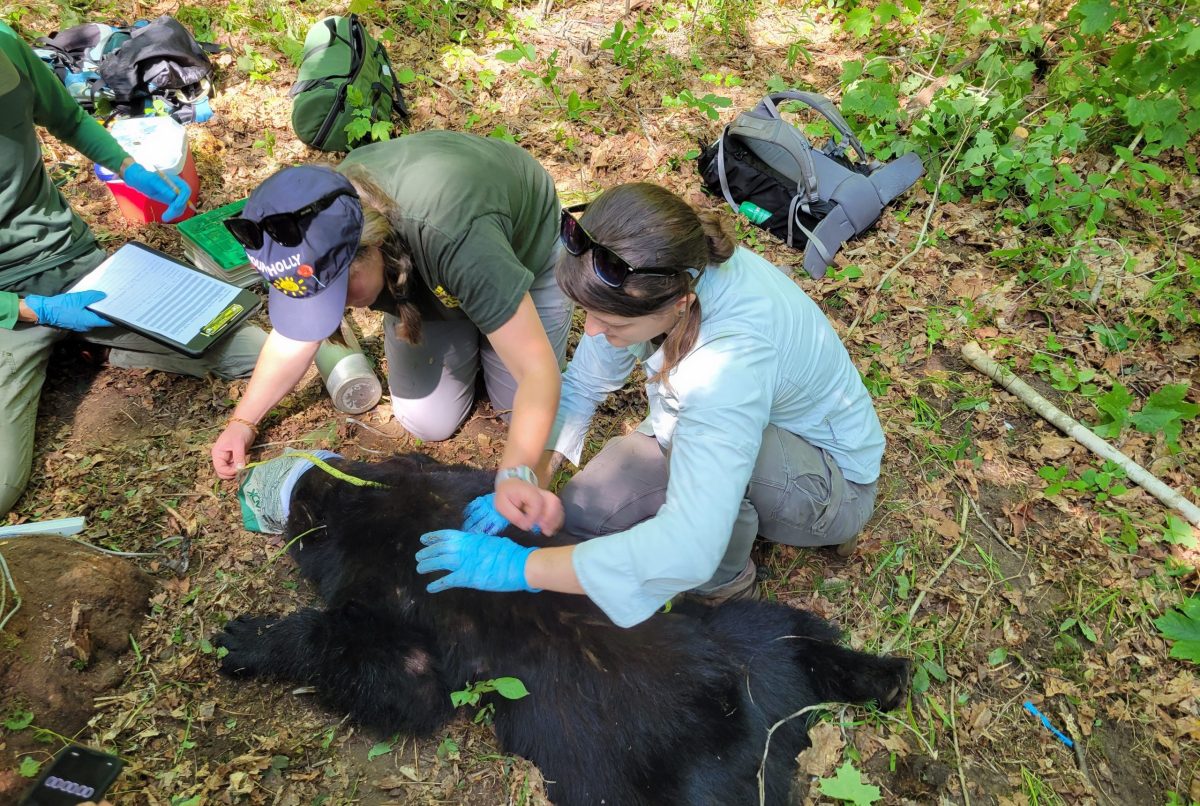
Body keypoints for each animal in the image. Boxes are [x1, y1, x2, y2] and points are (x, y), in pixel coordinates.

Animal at [215, 454, 911, 806]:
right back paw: (884, 676)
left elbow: (399, 681)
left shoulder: (390, 599)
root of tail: (764, 729)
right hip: (748, 637)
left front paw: (245, 641)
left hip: (633, 785)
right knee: (796, 634)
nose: (293, 479)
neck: (373, 502)